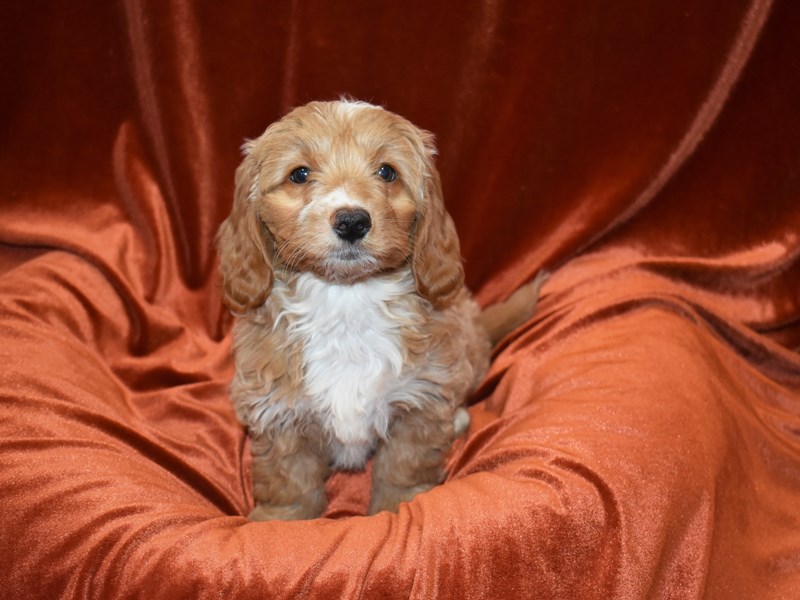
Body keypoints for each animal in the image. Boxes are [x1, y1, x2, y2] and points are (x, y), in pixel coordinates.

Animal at [216, 99, 540, 520]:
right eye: (299, 174)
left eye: (387, 172)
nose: (352, 221)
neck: (346, 301)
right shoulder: (277, 411)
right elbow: (288, 478)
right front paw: (279, 520)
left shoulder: (420, 399)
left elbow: (405, 464)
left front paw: (400, 507)